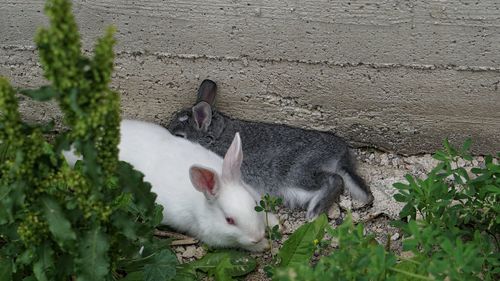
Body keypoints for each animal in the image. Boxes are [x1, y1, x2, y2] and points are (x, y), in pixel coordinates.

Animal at [63, 119, 278, 250]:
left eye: (254, 206)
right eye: (229, 220)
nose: (258, 236)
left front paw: (276, 224)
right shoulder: (215, 237)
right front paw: (262, 246)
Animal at [167, 79, 372, 219]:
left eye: (179, 137)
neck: (213, 138)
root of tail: (341, 154)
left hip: (296, 175)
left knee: (335, 180)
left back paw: (314, 211)